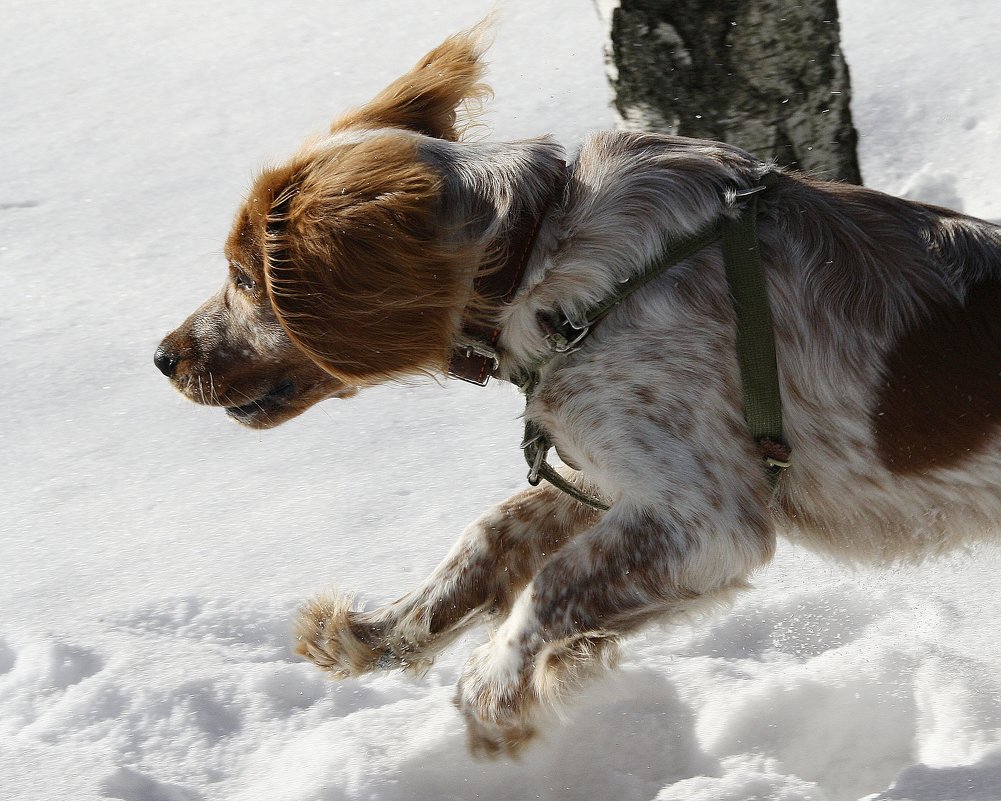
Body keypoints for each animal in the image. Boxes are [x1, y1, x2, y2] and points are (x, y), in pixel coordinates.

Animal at [152, 21, 1001, 752]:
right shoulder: (607, 460)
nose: (162, 357)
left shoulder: (707, 516)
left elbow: (550, 584)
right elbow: (490, 534)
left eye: (243, 278)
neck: (542, 257)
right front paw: (377, 634)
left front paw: (492, 695)